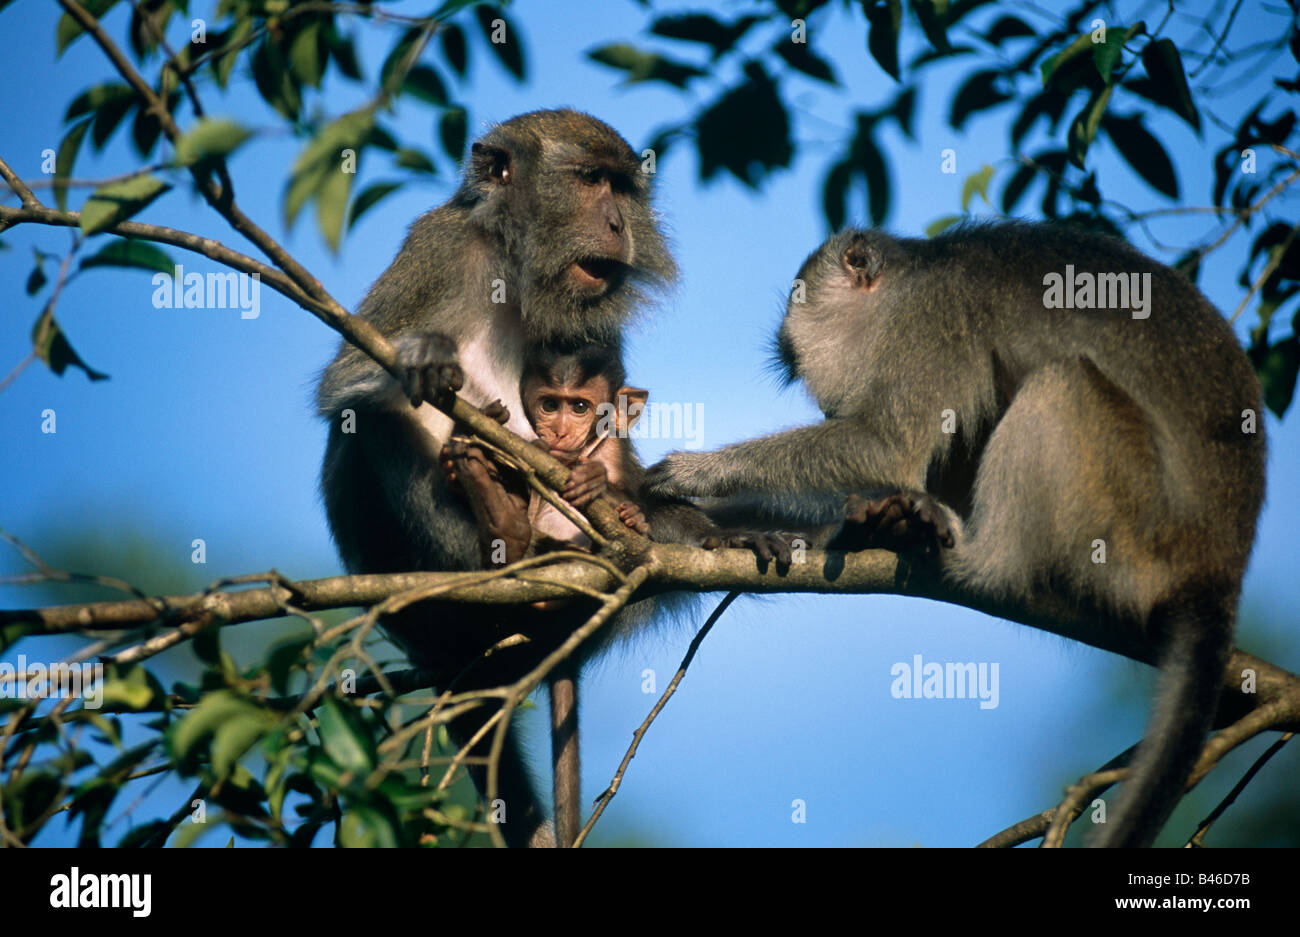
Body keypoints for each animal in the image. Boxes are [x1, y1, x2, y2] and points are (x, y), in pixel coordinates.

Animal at [317, 111, 780, 847]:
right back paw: (498, 550)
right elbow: (347, 387)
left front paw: (692, 525)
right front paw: (422, 356)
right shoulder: (437, 247)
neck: (515, 269)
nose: (618, 222)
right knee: (375, 425)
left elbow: (629, 461)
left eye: (622, 187)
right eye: (591, 181)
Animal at [650, 220, 1268, 847]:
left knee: (1062, 384)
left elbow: (885, 444)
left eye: (796, 359)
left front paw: (696, 470)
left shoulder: (934, 324)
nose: (821, 404)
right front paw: (710, 525)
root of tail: (1217, 571)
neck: (913, 281)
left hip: (1136, 535)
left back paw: (980, 563)